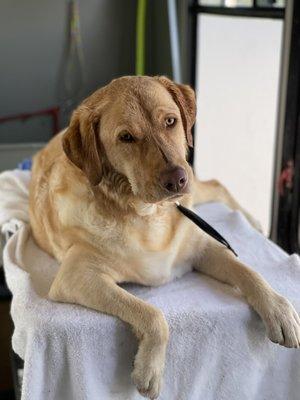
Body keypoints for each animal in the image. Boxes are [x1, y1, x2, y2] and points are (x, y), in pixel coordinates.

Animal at [28, 76, 300, 398]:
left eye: (170, 121)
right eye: (126, 137)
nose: (176, 180)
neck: (146, 214)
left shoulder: (205, 247)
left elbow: (248, 272)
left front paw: (278, 308)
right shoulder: (76, 277)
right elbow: (152, 314)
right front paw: (149, 369)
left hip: (195, 193)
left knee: (216, 185)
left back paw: (252, 219)